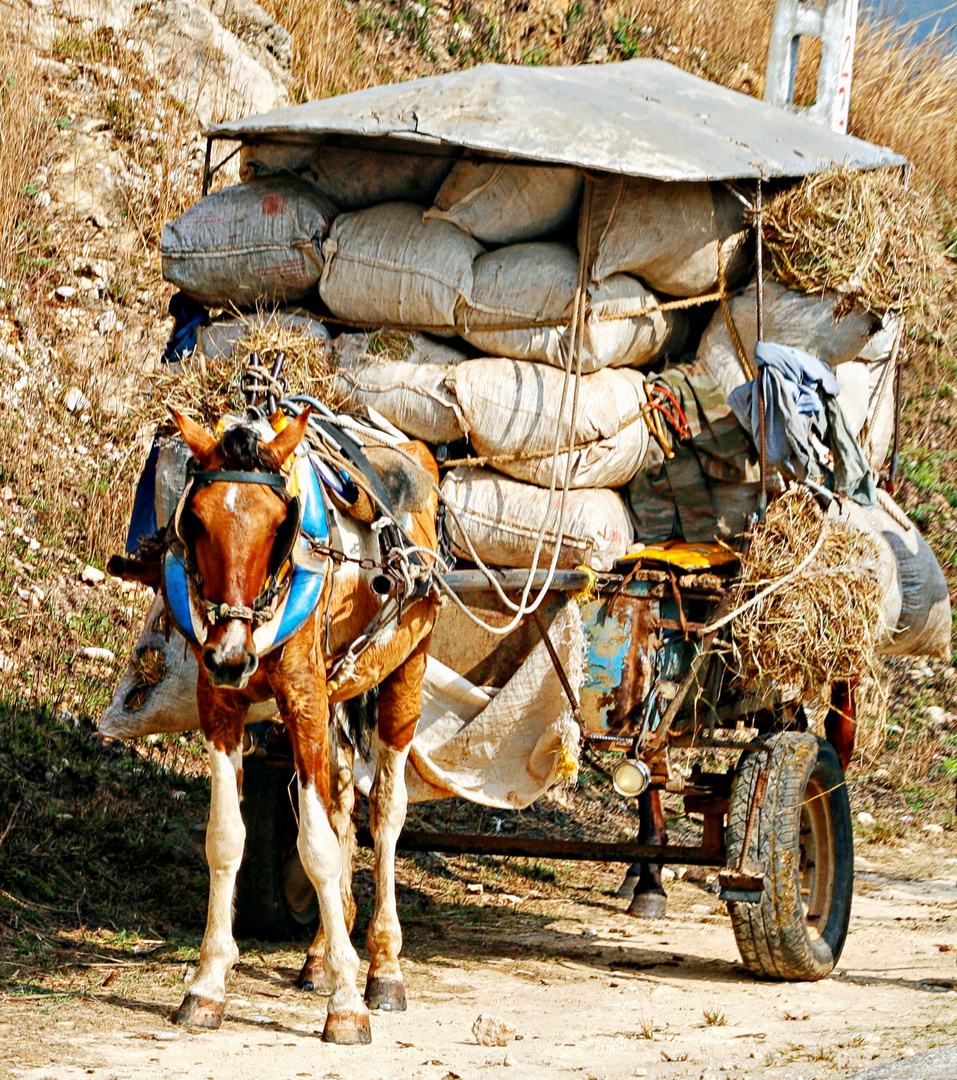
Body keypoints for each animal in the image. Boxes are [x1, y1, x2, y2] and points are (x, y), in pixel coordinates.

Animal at [159, 408, 438, 1041]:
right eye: (197, 521)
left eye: (275, 526)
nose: (231, 656)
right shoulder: (219, 703)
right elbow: (227, 838)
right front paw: (207, 984)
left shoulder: (304, 699)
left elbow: (315, 847)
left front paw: (348, 1006)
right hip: (334, 701)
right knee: (340, 808)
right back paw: (319, 956)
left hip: (405, 672)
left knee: (385, 814)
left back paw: (383, 967)